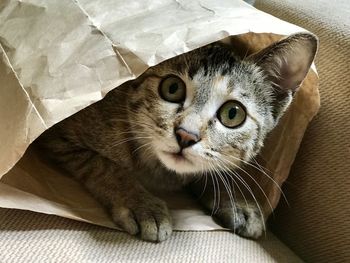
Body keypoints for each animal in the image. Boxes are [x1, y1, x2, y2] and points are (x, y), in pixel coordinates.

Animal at [35, 33, 318, 243]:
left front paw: (237, 202)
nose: (186, 135)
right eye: (172, 88)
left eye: (232, 114)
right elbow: (104, 166)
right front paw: (142, 204)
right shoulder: (58, 134)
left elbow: (208, 171)